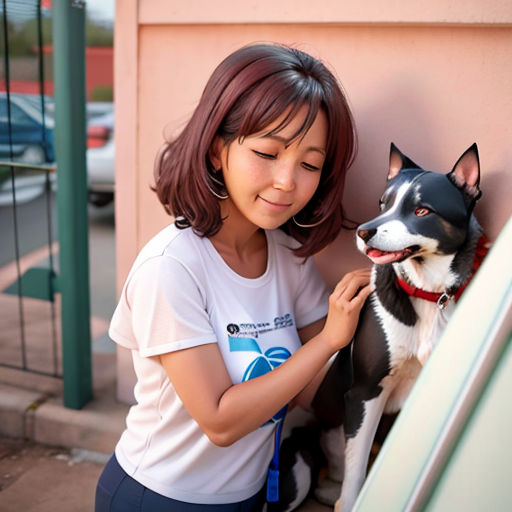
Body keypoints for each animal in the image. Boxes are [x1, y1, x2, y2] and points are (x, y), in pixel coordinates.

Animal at [296, 141, 488, 512]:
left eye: (422, 210)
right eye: (383, 203)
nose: (363, 230)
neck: (425, 293)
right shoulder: (366, 392)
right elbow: (356, 471)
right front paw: (349, 499)